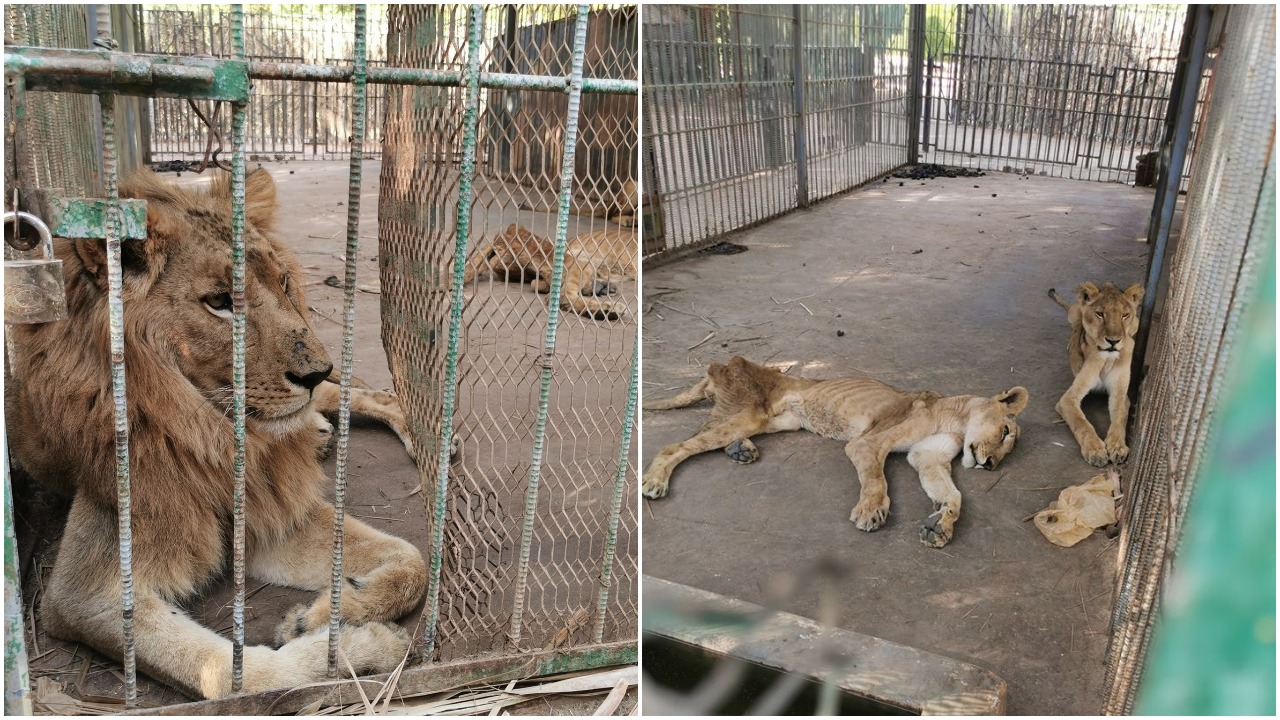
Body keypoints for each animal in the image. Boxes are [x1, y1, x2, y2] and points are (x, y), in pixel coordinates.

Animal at [3, 166, 430, 696]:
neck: (212, 433)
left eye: (283, 282)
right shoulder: (83, 592)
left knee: (364, 394)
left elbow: (413, 560)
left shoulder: (270, 509)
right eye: (220, 302)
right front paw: (361, 647)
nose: (316, 370)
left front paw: (321, 615)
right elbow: (229, 676)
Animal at [640, 356, 1029, 545]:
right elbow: (876, 478)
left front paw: (941, 526)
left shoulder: (926, 457)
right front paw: (871, 511)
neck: (956, 421)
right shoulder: (867, 442)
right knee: (677, 445)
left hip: (775, 422)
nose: (991, 465)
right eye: (1005, 431)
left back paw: (741, 450)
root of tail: (722, 365)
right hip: (747, 412)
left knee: (710, 435)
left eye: (1008, 450)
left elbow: (953, 495)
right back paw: (655, 482)